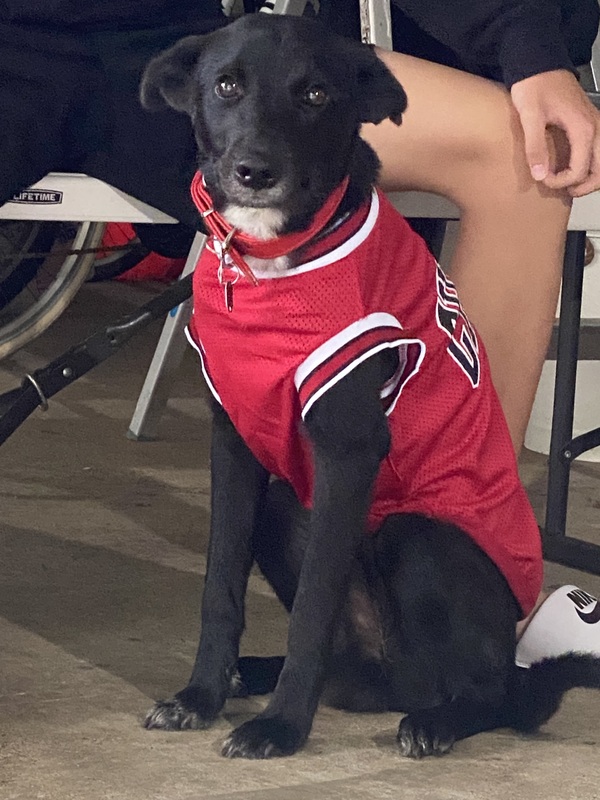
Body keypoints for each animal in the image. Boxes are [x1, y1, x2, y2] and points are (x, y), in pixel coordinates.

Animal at [140, 13, 600, 759]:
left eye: (316, 94)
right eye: (227, 85)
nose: (255, 170)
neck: (270, 266)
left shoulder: (348, 453)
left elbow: (314, 608)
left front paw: (282, 727)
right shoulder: (234, 445)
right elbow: (219, 588)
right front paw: (201, 695)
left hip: (419, 536)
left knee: (492, 693)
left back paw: (438, 721)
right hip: (282, 502)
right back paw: (258, 675)